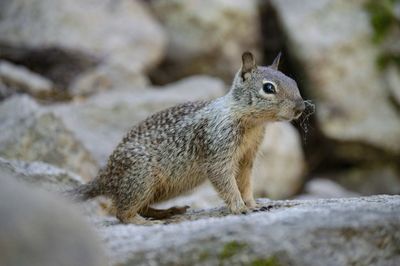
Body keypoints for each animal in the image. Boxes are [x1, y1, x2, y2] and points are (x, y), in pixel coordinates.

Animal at [70, 51, 304, 223]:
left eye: (293, 81)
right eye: (268, 88)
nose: (301, 108)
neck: (249, 122)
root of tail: (105, 176)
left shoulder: (247, 159)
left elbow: (245, 184)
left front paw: (255, 205)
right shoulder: (218, 149)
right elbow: (226, 182)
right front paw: (240, 208)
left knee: (142, 206)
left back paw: (167, 212)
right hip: (141, 178)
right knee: (120, 211)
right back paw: (144, 222)